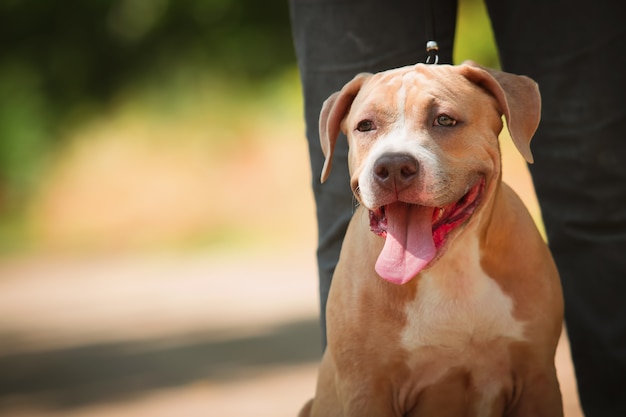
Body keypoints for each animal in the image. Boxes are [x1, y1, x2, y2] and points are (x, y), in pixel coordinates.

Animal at [300, 61, 564, 416]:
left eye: (444, 120)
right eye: (365, 126)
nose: (393, 166)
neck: (451, 267)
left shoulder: (537, 378)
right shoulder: (367, 389)